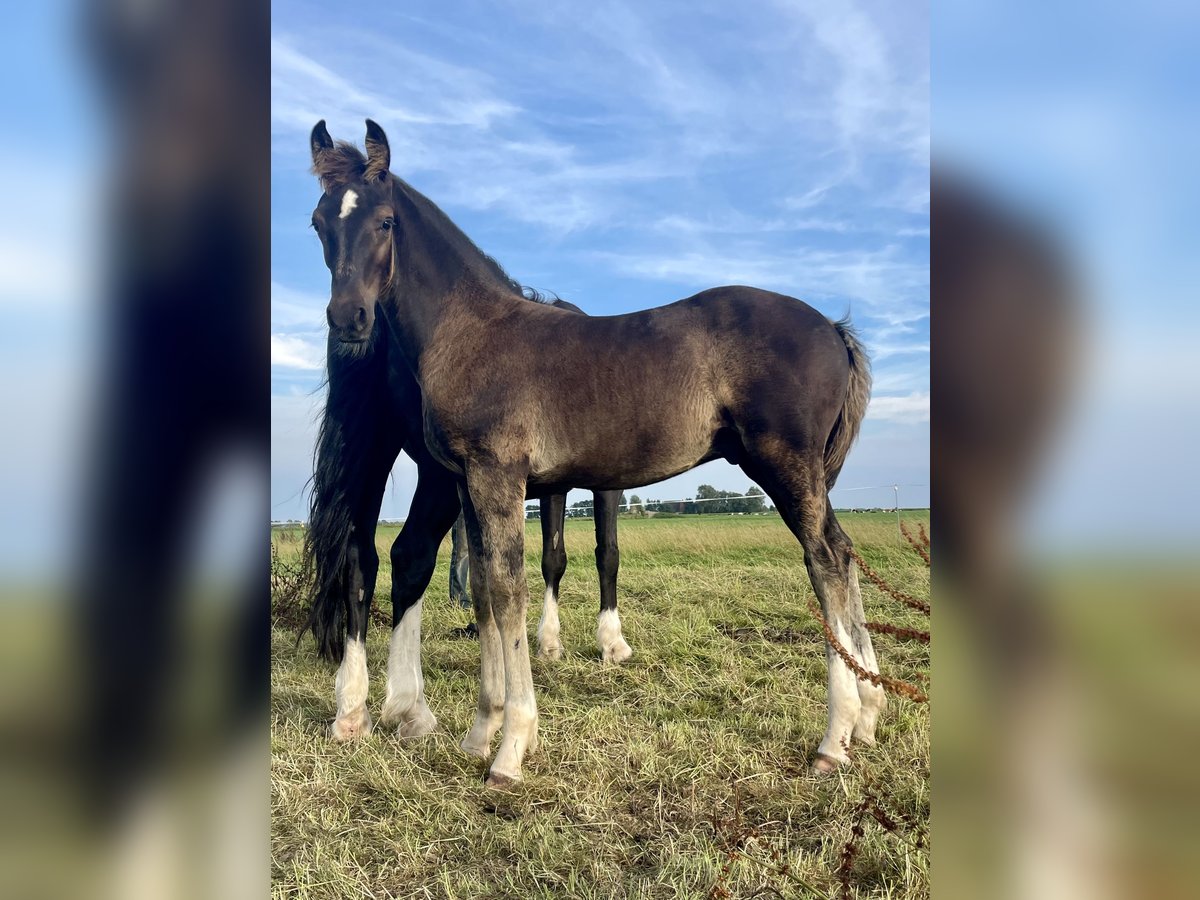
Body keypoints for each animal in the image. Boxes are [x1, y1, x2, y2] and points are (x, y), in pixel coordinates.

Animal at [300, 237, 633, 739]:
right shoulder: (600, 484)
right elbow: (606, 553)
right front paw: (611, 642)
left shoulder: (550, 489)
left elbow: (553, 558)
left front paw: (549, 641)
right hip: (440, 476)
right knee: (411, 555)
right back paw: (409, 704)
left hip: (375, 447)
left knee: (363, 560)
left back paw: (354, 709)